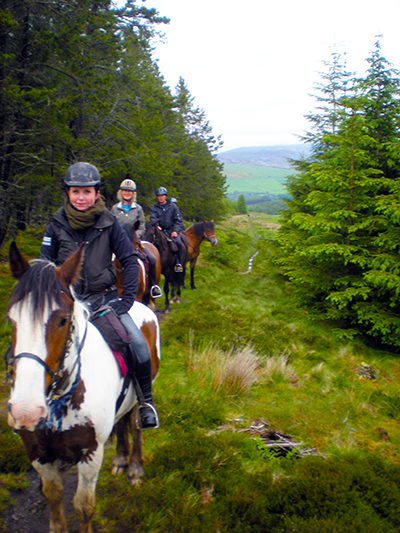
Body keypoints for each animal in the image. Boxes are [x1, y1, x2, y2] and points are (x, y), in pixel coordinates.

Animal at [6, 242, 159, 532]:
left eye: (63, 320)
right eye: (11, 319)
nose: (26, 411)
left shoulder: (90, 455)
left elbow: (84, 506)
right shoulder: (38, 455)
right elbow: (54, 499)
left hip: (140, 397)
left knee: (136, 425)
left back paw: (135, 468)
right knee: (121, 423)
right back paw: (121, 459)